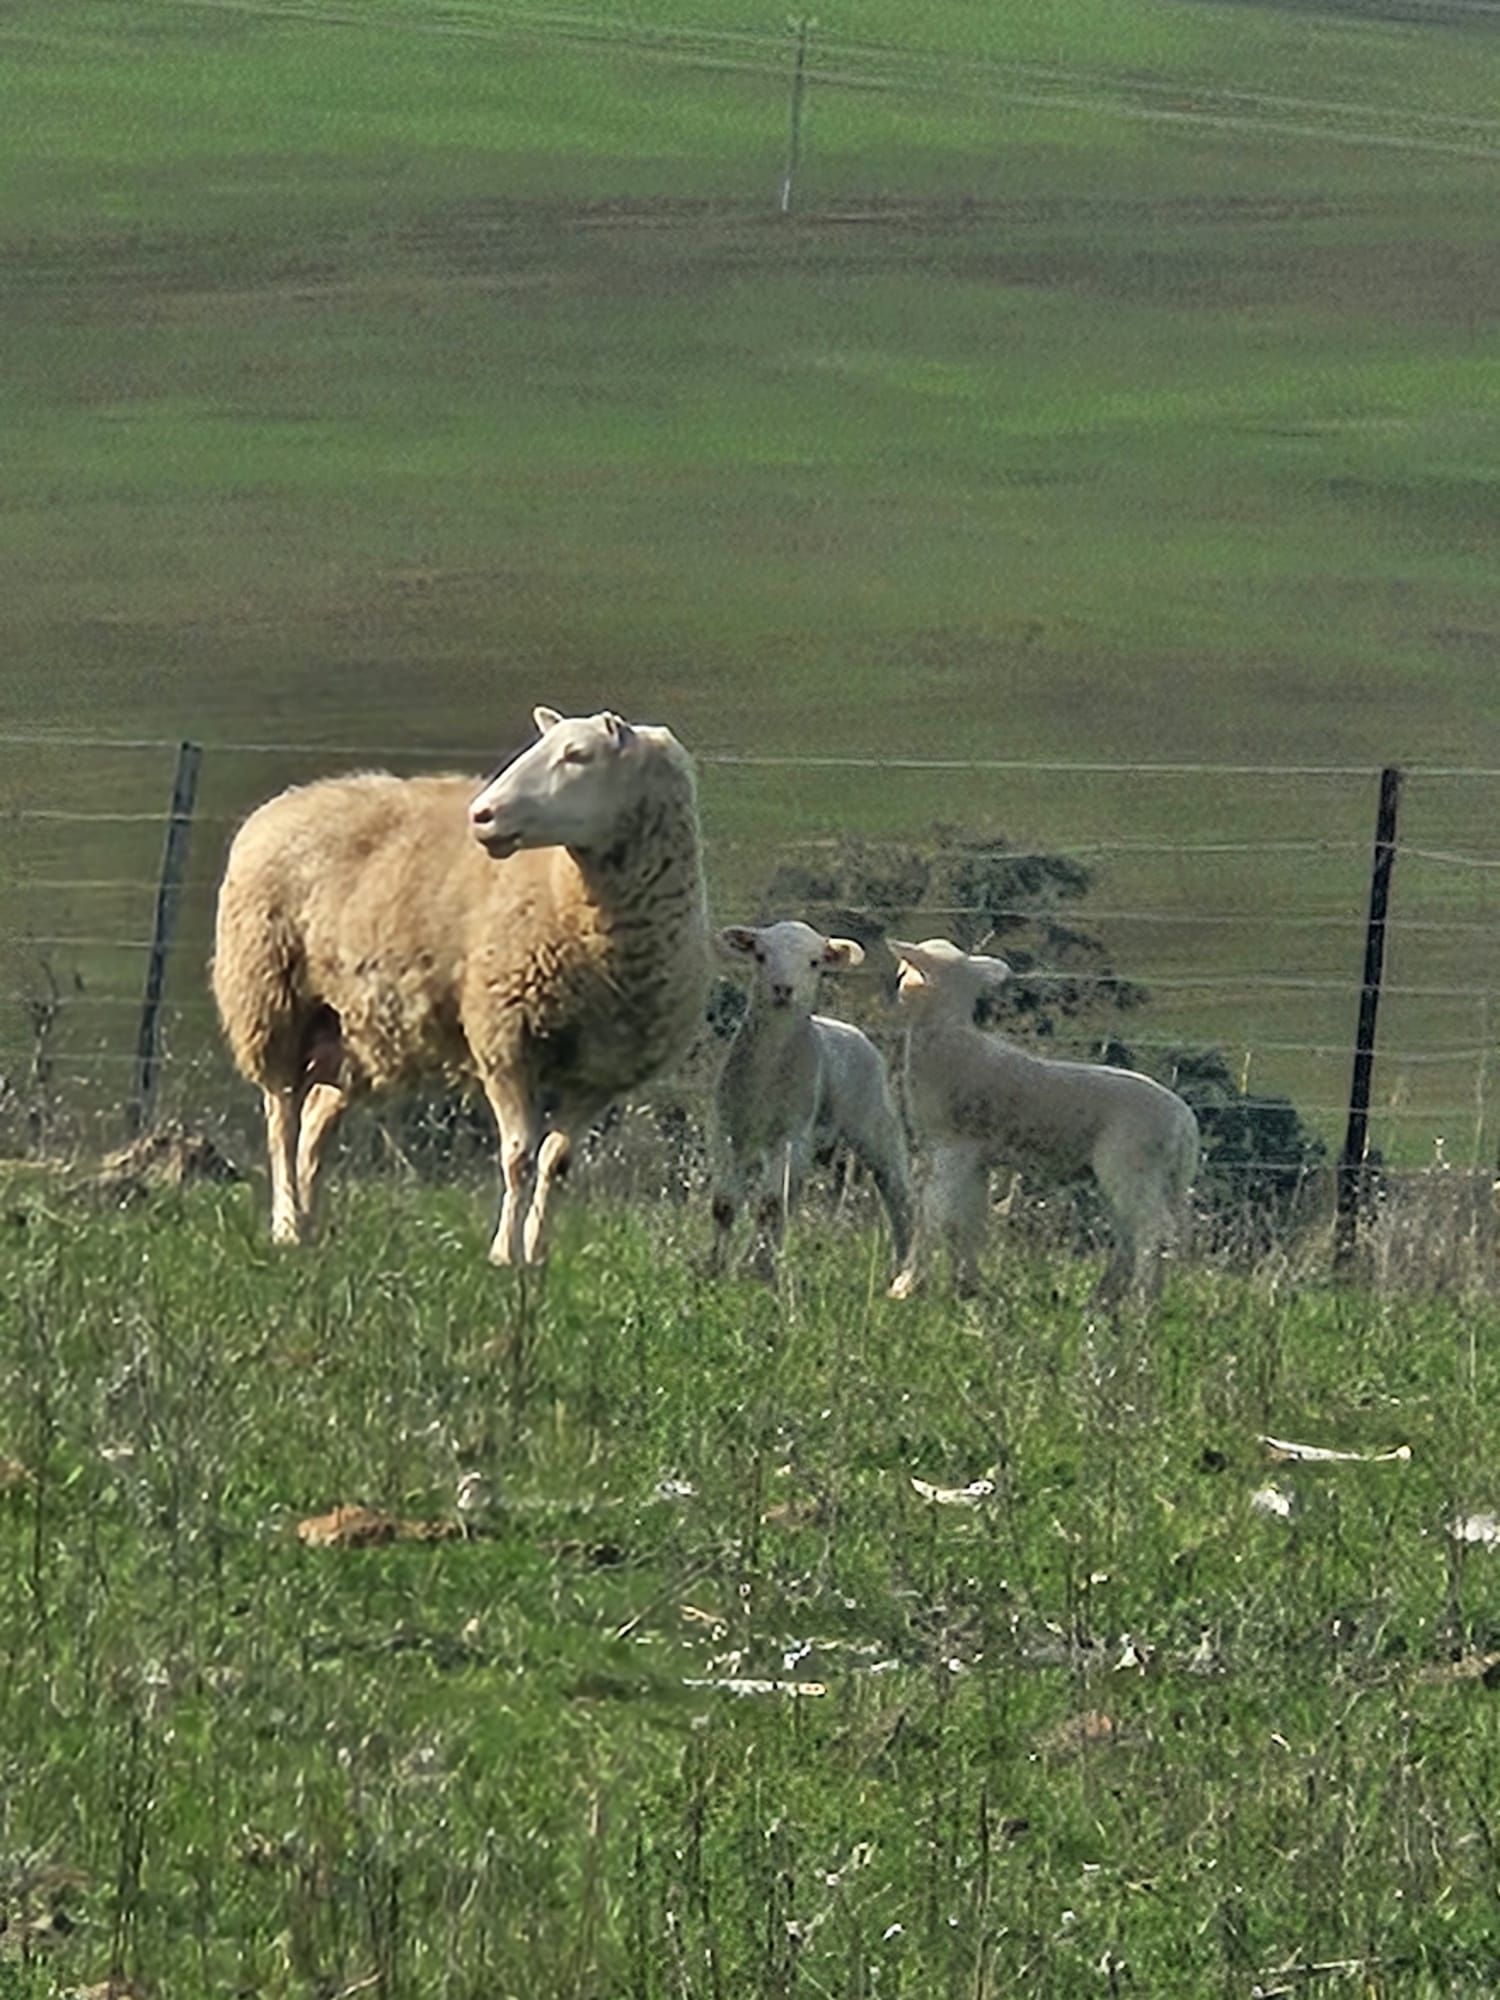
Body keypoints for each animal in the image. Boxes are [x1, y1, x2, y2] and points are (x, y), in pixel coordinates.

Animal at [212, 705, 709, 1264]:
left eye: (578, 754)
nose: (482, 815)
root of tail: (292, 798)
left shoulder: (599, 1075)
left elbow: (556, 1164)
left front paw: (537, 1256)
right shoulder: (506, 1042)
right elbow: (518, 1158)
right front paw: (504, 1256)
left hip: (352, 1031)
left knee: (315, 1126)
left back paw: (313, 1229)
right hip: (269, 998)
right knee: (281, 1119)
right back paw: (286, 1227)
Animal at [711, 921, 914, 1278]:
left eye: (815, 962)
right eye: (760, 956)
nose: (783, 988)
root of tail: (848, 1028)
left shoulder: (793, 1134)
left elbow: (769, 1207)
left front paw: (755, 1270)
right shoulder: (730, 1130)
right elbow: (725, 1205)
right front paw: (715, 1268)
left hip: (875, 1121)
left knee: (897, 1195)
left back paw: (902, 1269)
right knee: (788, 1200)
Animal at [885, 938, 1198, 1305]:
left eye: (904, 971)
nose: (896, 990)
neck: (946, 1038)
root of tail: (1184, 1121)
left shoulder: (953, 1148)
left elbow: (934, 1213)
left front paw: (907, 1283)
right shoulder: (976, 1161)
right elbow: (968, 1221)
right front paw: (967, 1284)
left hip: (1133, 1164)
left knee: (1153, 1231)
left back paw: (1140, 1304)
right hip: (1151, 1176)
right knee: (1133, 1234)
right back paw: (1111, 1298)